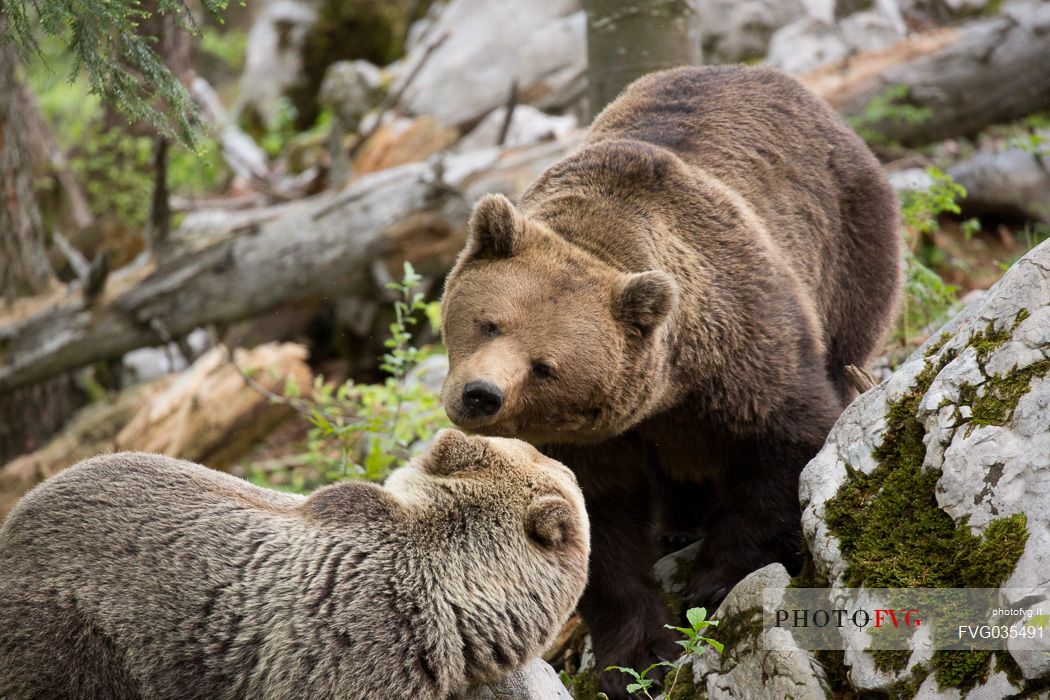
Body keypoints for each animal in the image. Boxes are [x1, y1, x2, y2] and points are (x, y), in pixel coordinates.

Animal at [438, 64, 898, 696]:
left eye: (544, 365)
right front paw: (639, 653)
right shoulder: (590, 435)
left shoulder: (744, 352)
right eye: (489, 323)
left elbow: (787, 442)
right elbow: (598, 524)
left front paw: (714, 586)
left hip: (849, 251)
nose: (481, 395)